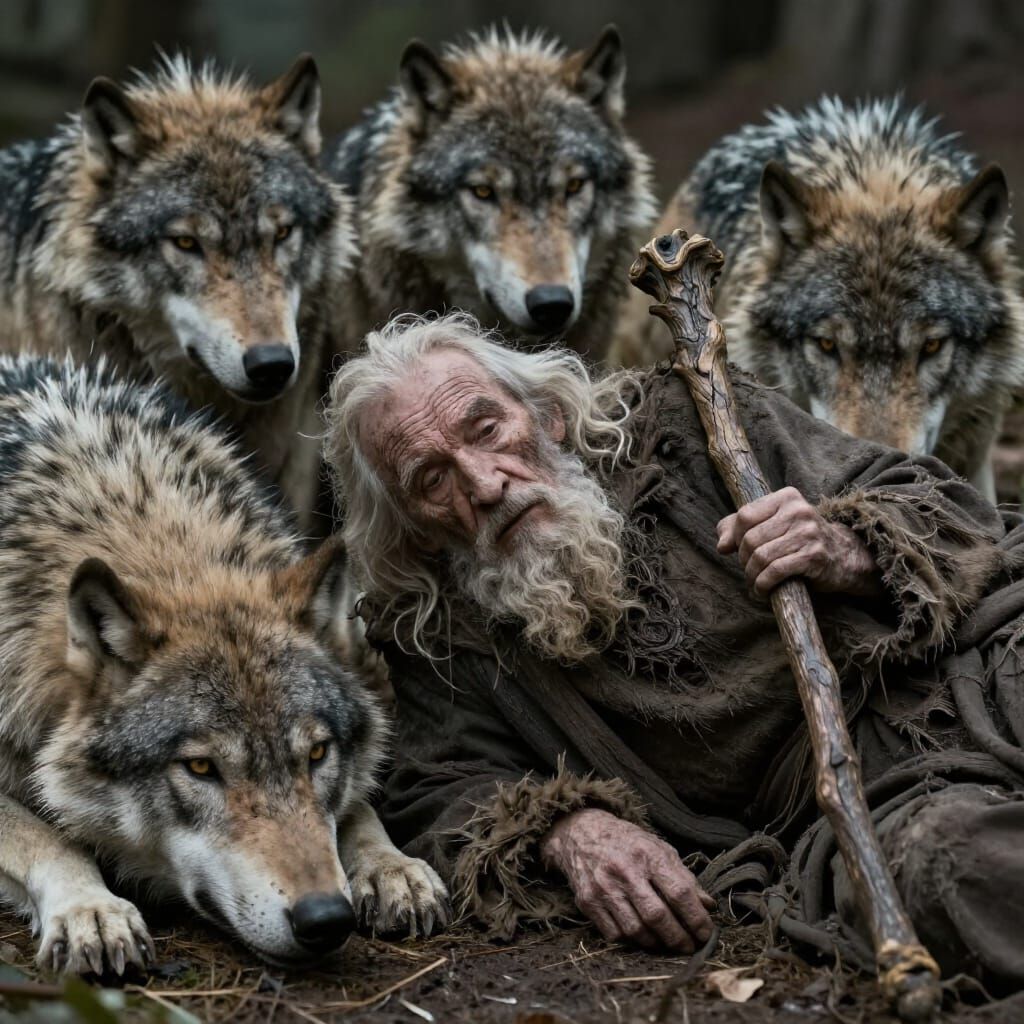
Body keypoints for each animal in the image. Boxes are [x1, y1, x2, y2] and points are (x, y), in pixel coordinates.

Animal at [0, 356, 448, 973]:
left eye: (317, 754)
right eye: (201, 768)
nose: (326, 918)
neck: (159, 539)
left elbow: (357, 810)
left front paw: (391, 867)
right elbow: (48, 838)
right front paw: (92, 908)